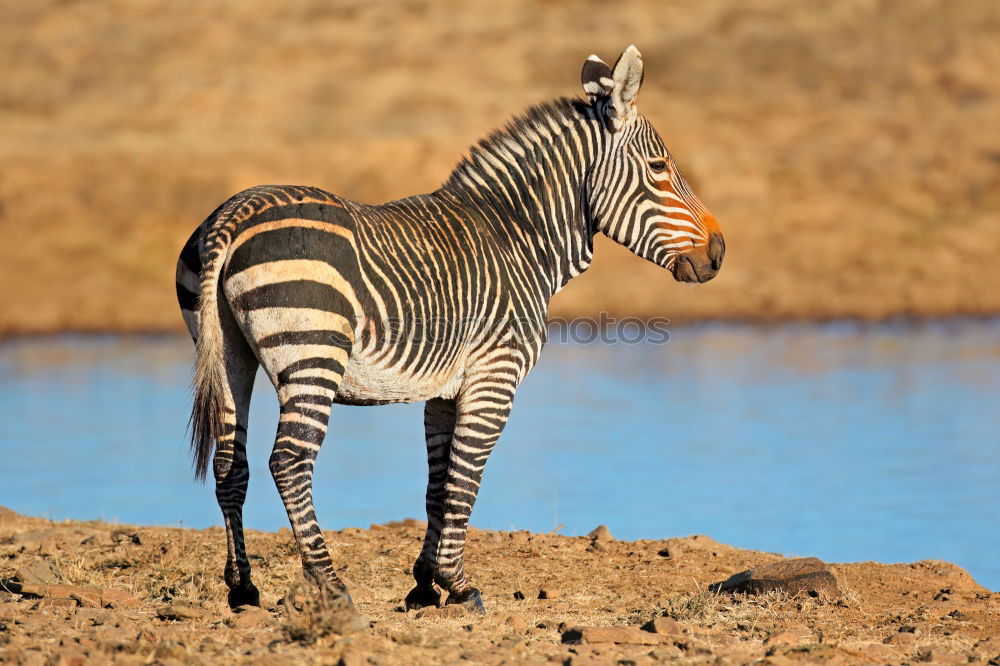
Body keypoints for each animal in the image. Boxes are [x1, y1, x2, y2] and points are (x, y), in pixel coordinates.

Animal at [174, 45, 728, 612]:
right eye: (659, 168)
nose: (719, 253)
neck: (518, 237)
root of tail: (234, 213)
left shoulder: (443, 389)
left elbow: (438, 485)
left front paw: (424, 583)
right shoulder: (494, 376)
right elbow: (467, 478)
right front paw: (458, 584)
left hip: (229, 354)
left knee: (230, 464)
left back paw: (243, 588)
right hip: (313, 355)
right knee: (289, 462)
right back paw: (330, 583)